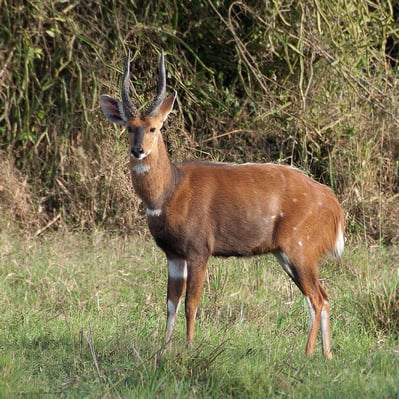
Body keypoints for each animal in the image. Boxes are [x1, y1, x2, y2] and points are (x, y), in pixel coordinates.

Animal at [99, 50, 344, 360]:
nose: (138, 150)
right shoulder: (173, 254)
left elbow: (191, 302)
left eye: (154, 127)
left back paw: (308, 353)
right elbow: (170, 303)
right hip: (287, 253)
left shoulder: (199, 249)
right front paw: (164, 347)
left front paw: (189, 346)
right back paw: (327, 355)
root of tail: (333, 204)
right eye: (130, 128)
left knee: (315, 297)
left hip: (299, 248)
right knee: (323, 295)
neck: (169, 193)